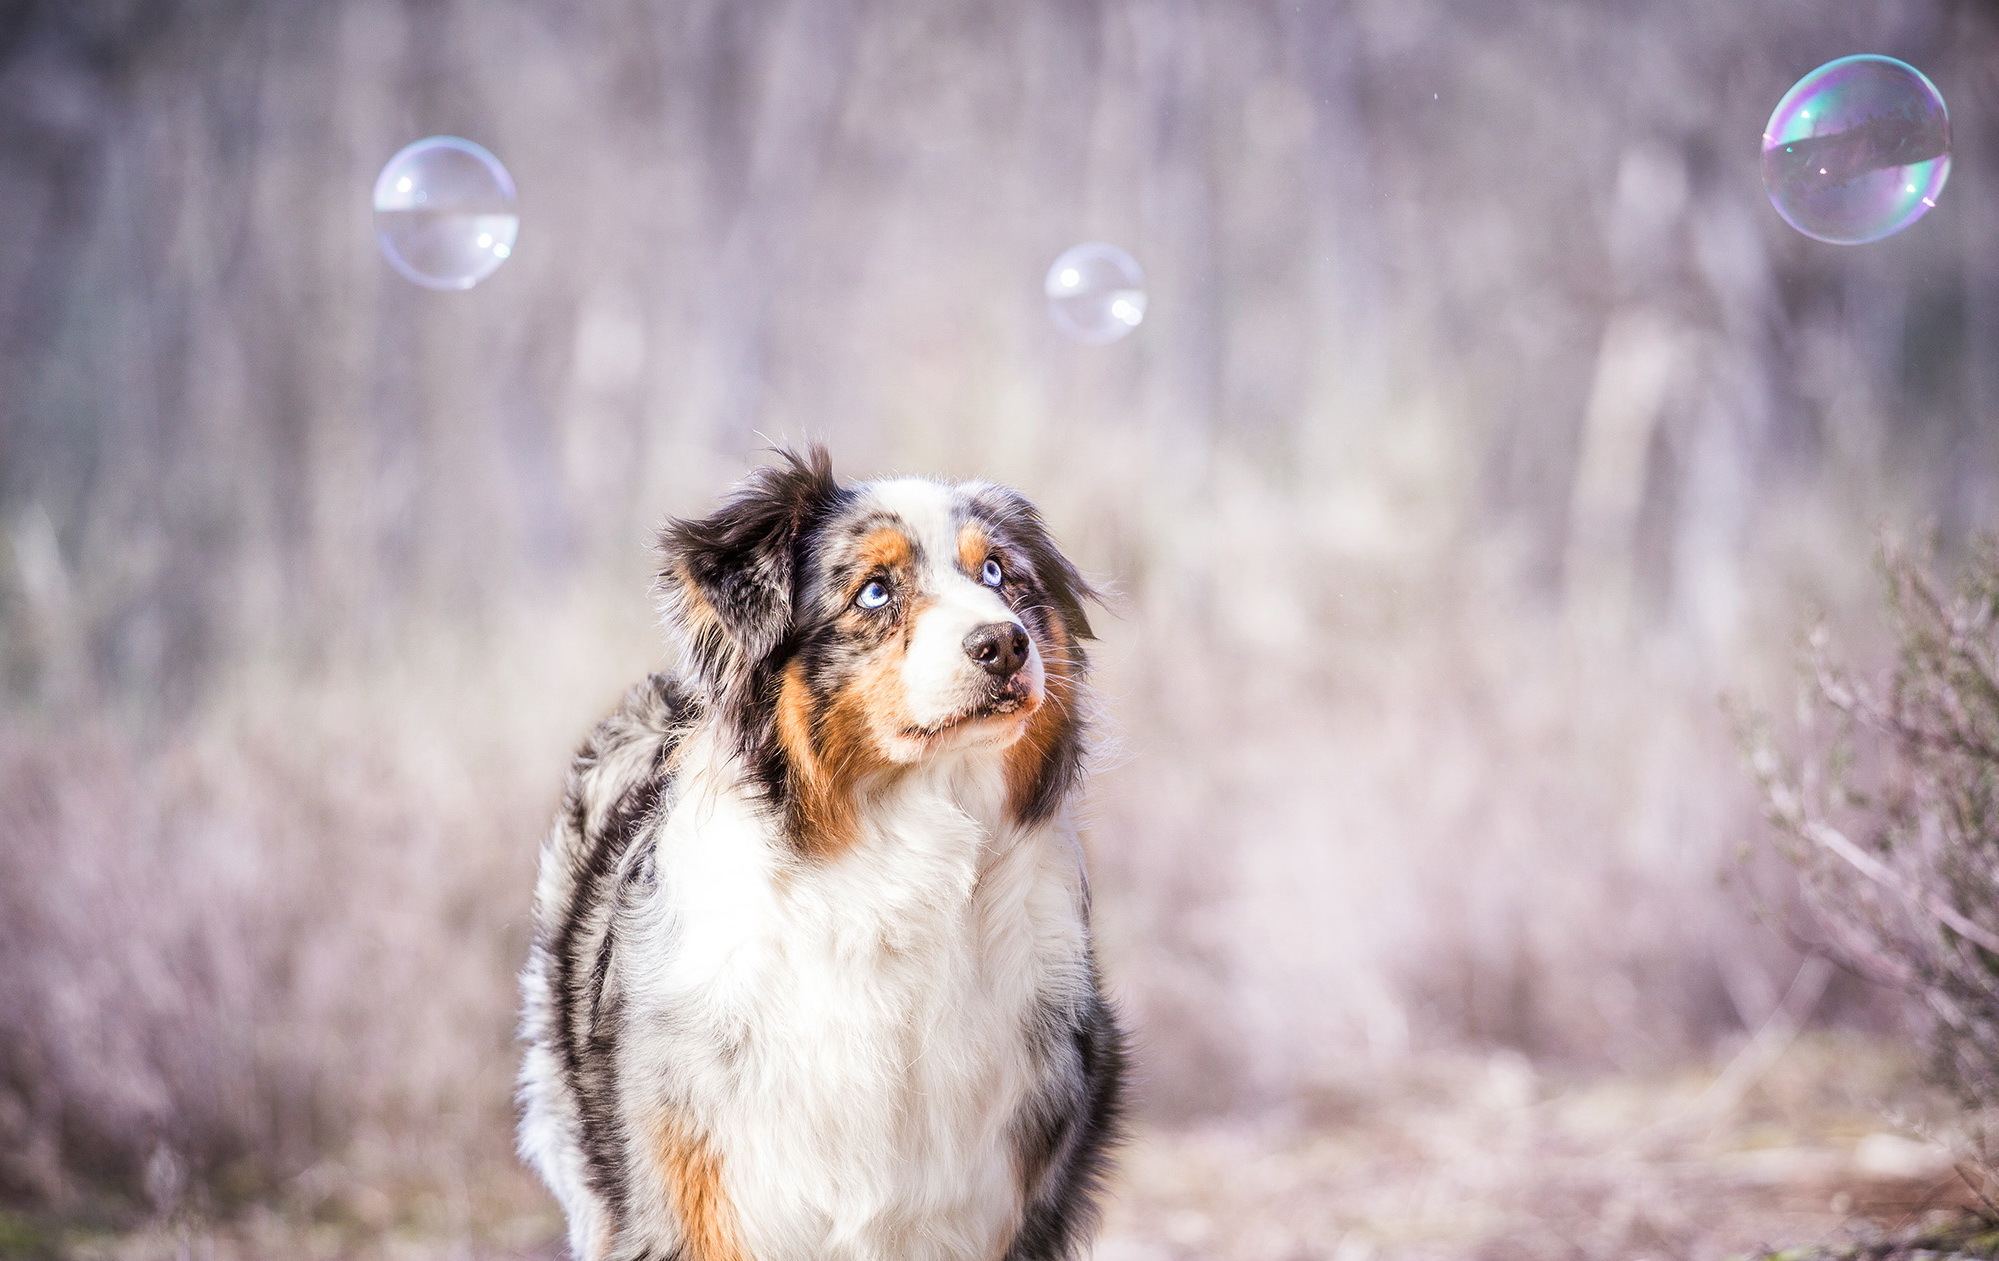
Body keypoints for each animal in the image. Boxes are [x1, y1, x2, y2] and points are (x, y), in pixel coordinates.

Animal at [515, 451, 1127, 1261]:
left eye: (997, 573)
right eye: (875, 590)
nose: (1004, 643)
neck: (901, 861)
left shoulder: (992, 1195)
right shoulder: (697, 1191)